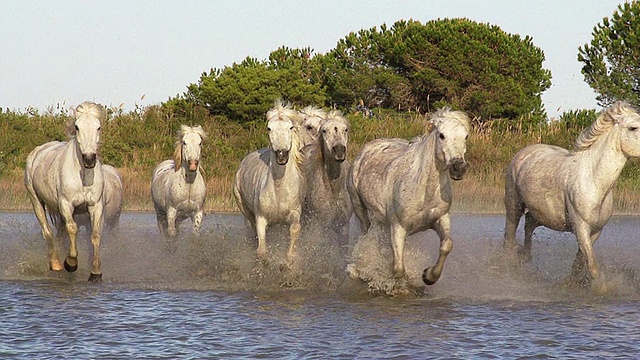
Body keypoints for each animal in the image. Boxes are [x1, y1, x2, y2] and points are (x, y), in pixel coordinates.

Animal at [23, 100, 106, 282]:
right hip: (36, 201)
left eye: (98, 127)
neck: (83, 177)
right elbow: (73, 228)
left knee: (60, 234)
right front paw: (71, 263)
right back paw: (56, 264)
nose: (89, 159)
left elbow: (96, 235)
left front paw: (95, 273)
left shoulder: (96, 206)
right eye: (77, 127)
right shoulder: (66, 205)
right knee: (47, 231)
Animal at [234, 100, 306, 268]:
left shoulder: (295, 213)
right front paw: (265, 263)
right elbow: (261, 251)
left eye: (290, 127)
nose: (281, 156)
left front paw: (286, 263)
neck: (279, 189)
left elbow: (294, 231)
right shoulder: (261, 218)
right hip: (244, 208)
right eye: (269, 128)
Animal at [348, 107, 472, 284]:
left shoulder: (441, 218)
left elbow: (446, 245)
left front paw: (429, 276)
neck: (424, 191)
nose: (458, 168)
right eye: (441, 135)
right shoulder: (398, 227)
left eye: (466, 136)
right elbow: (399, 269)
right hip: (360, 209)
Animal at [504, 101, 640, 292]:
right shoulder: (580, 226)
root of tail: (523, 152)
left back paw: (524, 256)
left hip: (543, 214)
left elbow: (581, 261)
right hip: (514, 206)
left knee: (529, 223)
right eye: (633, 128)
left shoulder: (596, 230)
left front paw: (569, 283)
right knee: (509, 236)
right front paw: (600, 289)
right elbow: (591, 264)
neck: (594, 181)